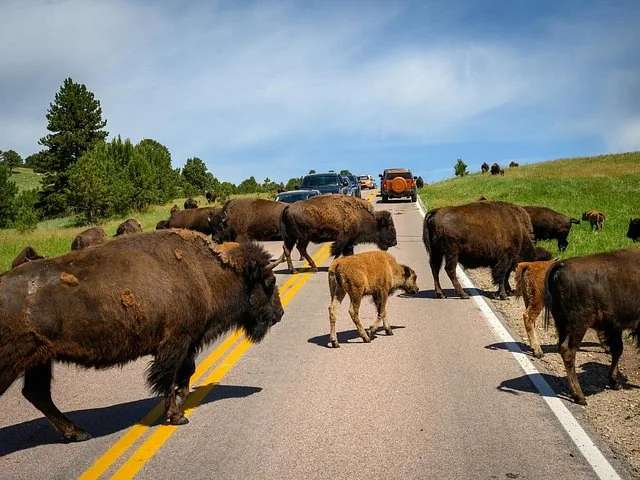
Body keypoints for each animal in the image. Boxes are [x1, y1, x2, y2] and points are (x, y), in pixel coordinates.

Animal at [0, 231, 283, 441]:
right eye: (269, 282)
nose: (279, 313)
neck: (203, 272)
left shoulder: (187, 342)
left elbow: (186, 371)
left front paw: (182, 395)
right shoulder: (175, 342)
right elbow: (167, 378)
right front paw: (177, 416)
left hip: (39, 360)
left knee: (37, 394)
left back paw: (78, 432)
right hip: (14, 364)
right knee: (36, 393)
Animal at [423, 201, 552, 300]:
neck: (520, 230)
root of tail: (436, 212)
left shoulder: (506, 261)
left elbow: (505, 276)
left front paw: (507, 291)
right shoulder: (505, 260)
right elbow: (501, 276)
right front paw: (503, 295)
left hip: (437, 253)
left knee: (435, 268)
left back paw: (441, 294)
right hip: (451, 254)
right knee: (449, 270)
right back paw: (463, 294)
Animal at [544, 248, 640, 405]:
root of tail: (561, 265)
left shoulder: (614, 327)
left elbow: (617, 350)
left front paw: (614, 382)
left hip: (561, 323)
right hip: (578, 325)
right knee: (568, 351)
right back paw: (580, 396)